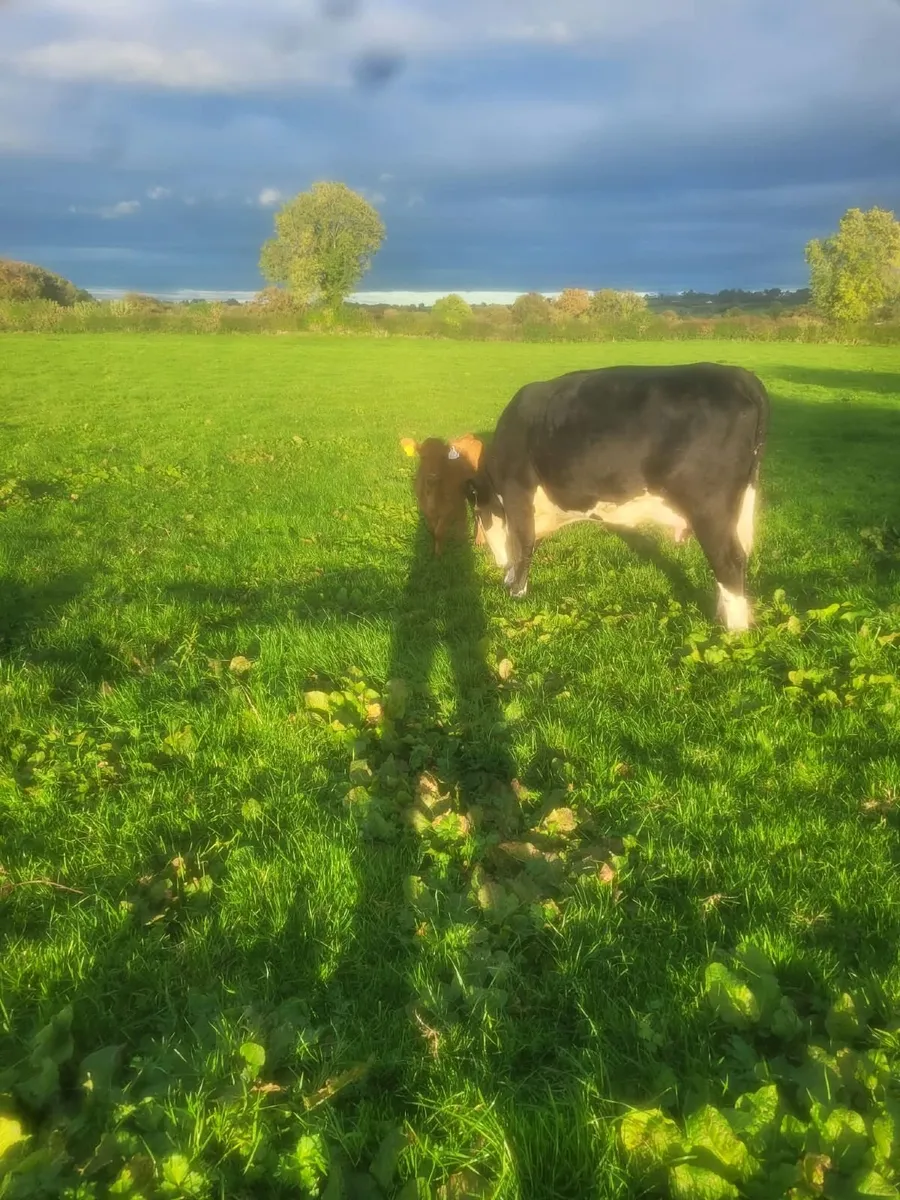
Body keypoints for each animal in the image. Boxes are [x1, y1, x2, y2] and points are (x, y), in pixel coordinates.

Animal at [468, 363, 769, 631]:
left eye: (477, 516)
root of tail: (739, 376)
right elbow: (527, 543)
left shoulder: (517, 492)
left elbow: (523, 543)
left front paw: (515, 592)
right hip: (738, 505)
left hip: (709, 507)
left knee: (729, 560)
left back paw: (735, 631)